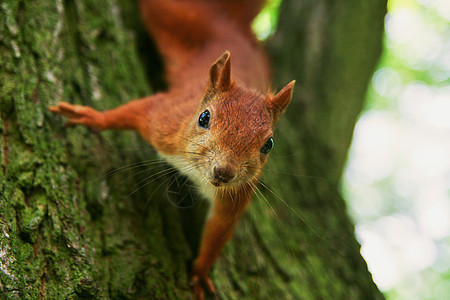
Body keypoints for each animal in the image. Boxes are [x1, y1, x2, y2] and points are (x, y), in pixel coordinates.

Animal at [50, 1, 296, 298]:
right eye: (204, 118)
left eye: (268, 144)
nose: (224, 172)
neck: (196, 171)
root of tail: (227, 23)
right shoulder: (164, 120)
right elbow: (134, 111)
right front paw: (92, 117)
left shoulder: (237, 193)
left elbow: (218, 230)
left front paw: (200, 272)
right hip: (171, 13)